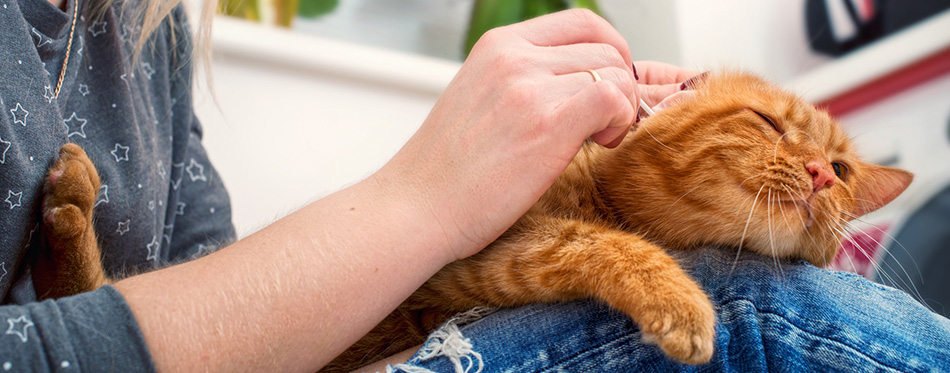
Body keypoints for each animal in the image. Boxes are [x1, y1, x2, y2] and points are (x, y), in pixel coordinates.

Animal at [35, 70, 916, 370]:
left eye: (839, 170)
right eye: (768, 126)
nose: (815, 173)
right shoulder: (471, 255)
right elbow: (598, 242)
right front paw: (681, 301)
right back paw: (70, 203)